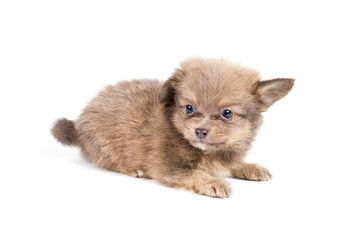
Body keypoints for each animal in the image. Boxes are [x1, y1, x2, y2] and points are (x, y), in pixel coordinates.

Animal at [52, 57, 294, 198]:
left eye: (227, 113)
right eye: (189, 108)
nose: (200, 131)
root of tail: (77, 124)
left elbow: (231, 164)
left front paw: (250, 167)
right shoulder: (169, 167)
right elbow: (194, 172)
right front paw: (213, 181)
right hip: (104, 147)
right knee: (107, 161)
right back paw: (132, 170)